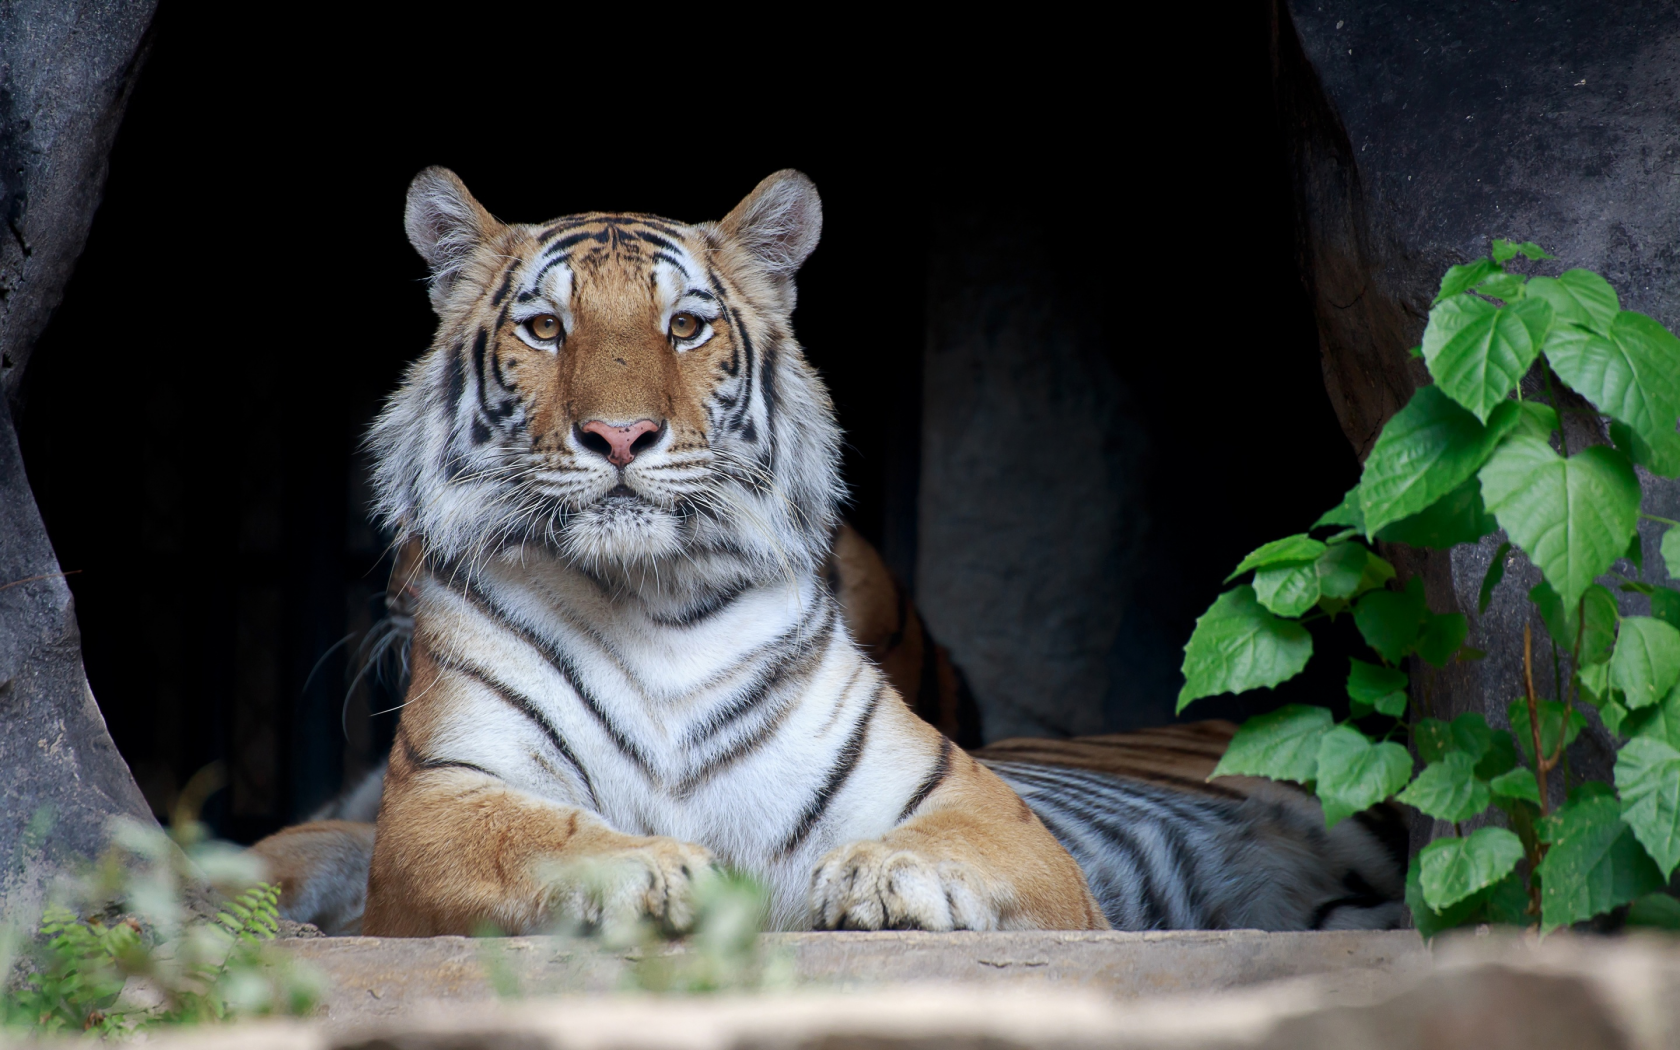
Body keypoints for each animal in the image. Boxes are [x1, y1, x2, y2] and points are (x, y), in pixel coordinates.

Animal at [248, 168, 1404, 940]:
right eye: (543, 328)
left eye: (685, 327)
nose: (620, 436)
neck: (647, 599)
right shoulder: (441, 798)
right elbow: (537, 837)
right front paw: (659, 875)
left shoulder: (979, 804)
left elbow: (954, 840)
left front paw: (884, 882)